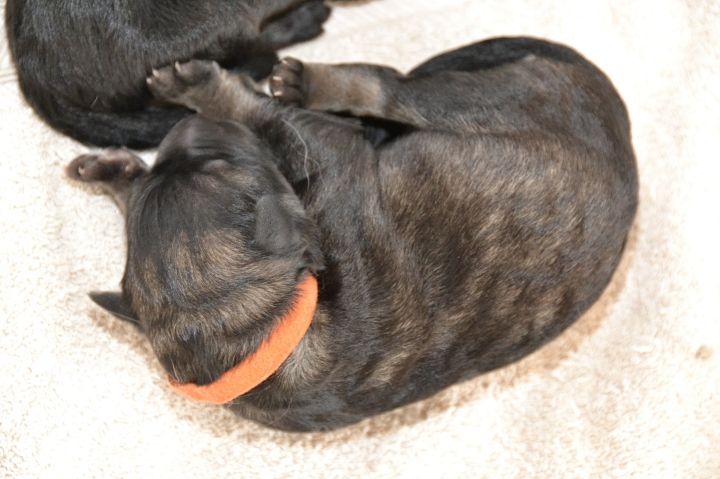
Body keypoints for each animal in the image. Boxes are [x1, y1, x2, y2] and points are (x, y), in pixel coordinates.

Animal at [66, 37, 638, 431]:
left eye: (216, 166)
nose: (178, 132)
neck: (265, 332)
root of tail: (625, 135)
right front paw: (117, 169)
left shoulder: (323, 149)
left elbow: (261, 115)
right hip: (477, 99)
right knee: (384, 87)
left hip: (474, 101)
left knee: (382, 86)